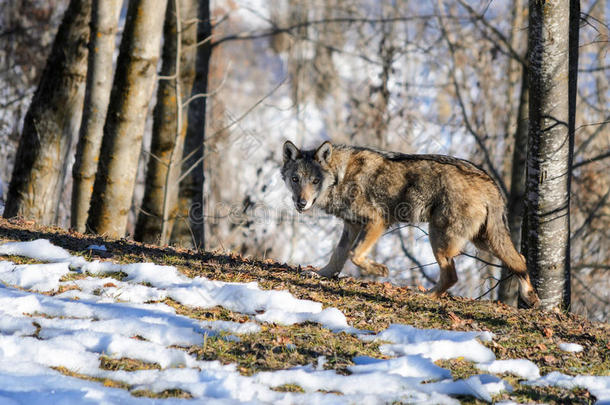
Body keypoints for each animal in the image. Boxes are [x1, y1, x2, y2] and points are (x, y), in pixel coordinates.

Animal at [278, 140, 540, 306]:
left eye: (315, 181)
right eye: (295, 179)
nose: (301, 203)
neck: (341, 176)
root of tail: (489, 181)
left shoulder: (377, 221)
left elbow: (354, 254)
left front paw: (379, 270)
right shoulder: (351, 225)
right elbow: (338, 256)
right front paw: (322, 274)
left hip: (441, 239)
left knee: (452, 276)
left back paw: (426, 297)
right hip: (483, 241)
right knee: (520, 259)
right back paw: (530, 296)